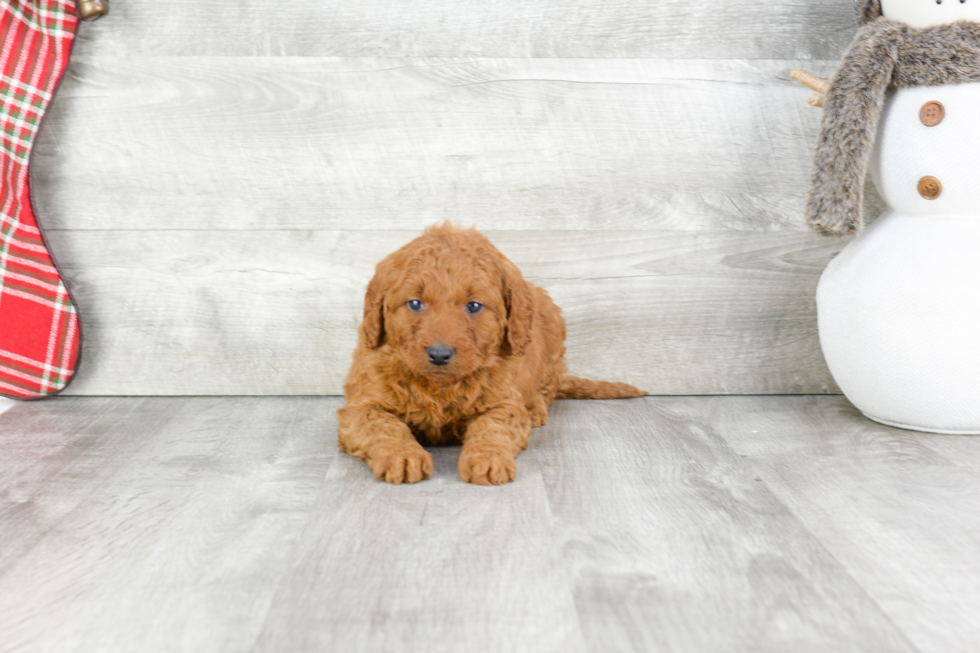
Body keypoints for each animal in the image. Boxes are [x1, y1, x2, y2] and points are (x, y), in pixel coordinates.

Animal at [336, 224, 644, 484]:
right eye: (414, 303)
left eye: (473, 306)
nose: (439, 354)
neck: (440, 388)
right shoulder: (361, 405)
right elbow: (382, 425)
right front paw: (402, 456)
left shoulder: (504, 402)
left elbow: (493, 427)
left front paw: (488, 459)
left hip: (552, 334)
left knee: (547, 387)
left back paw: (535, 409)